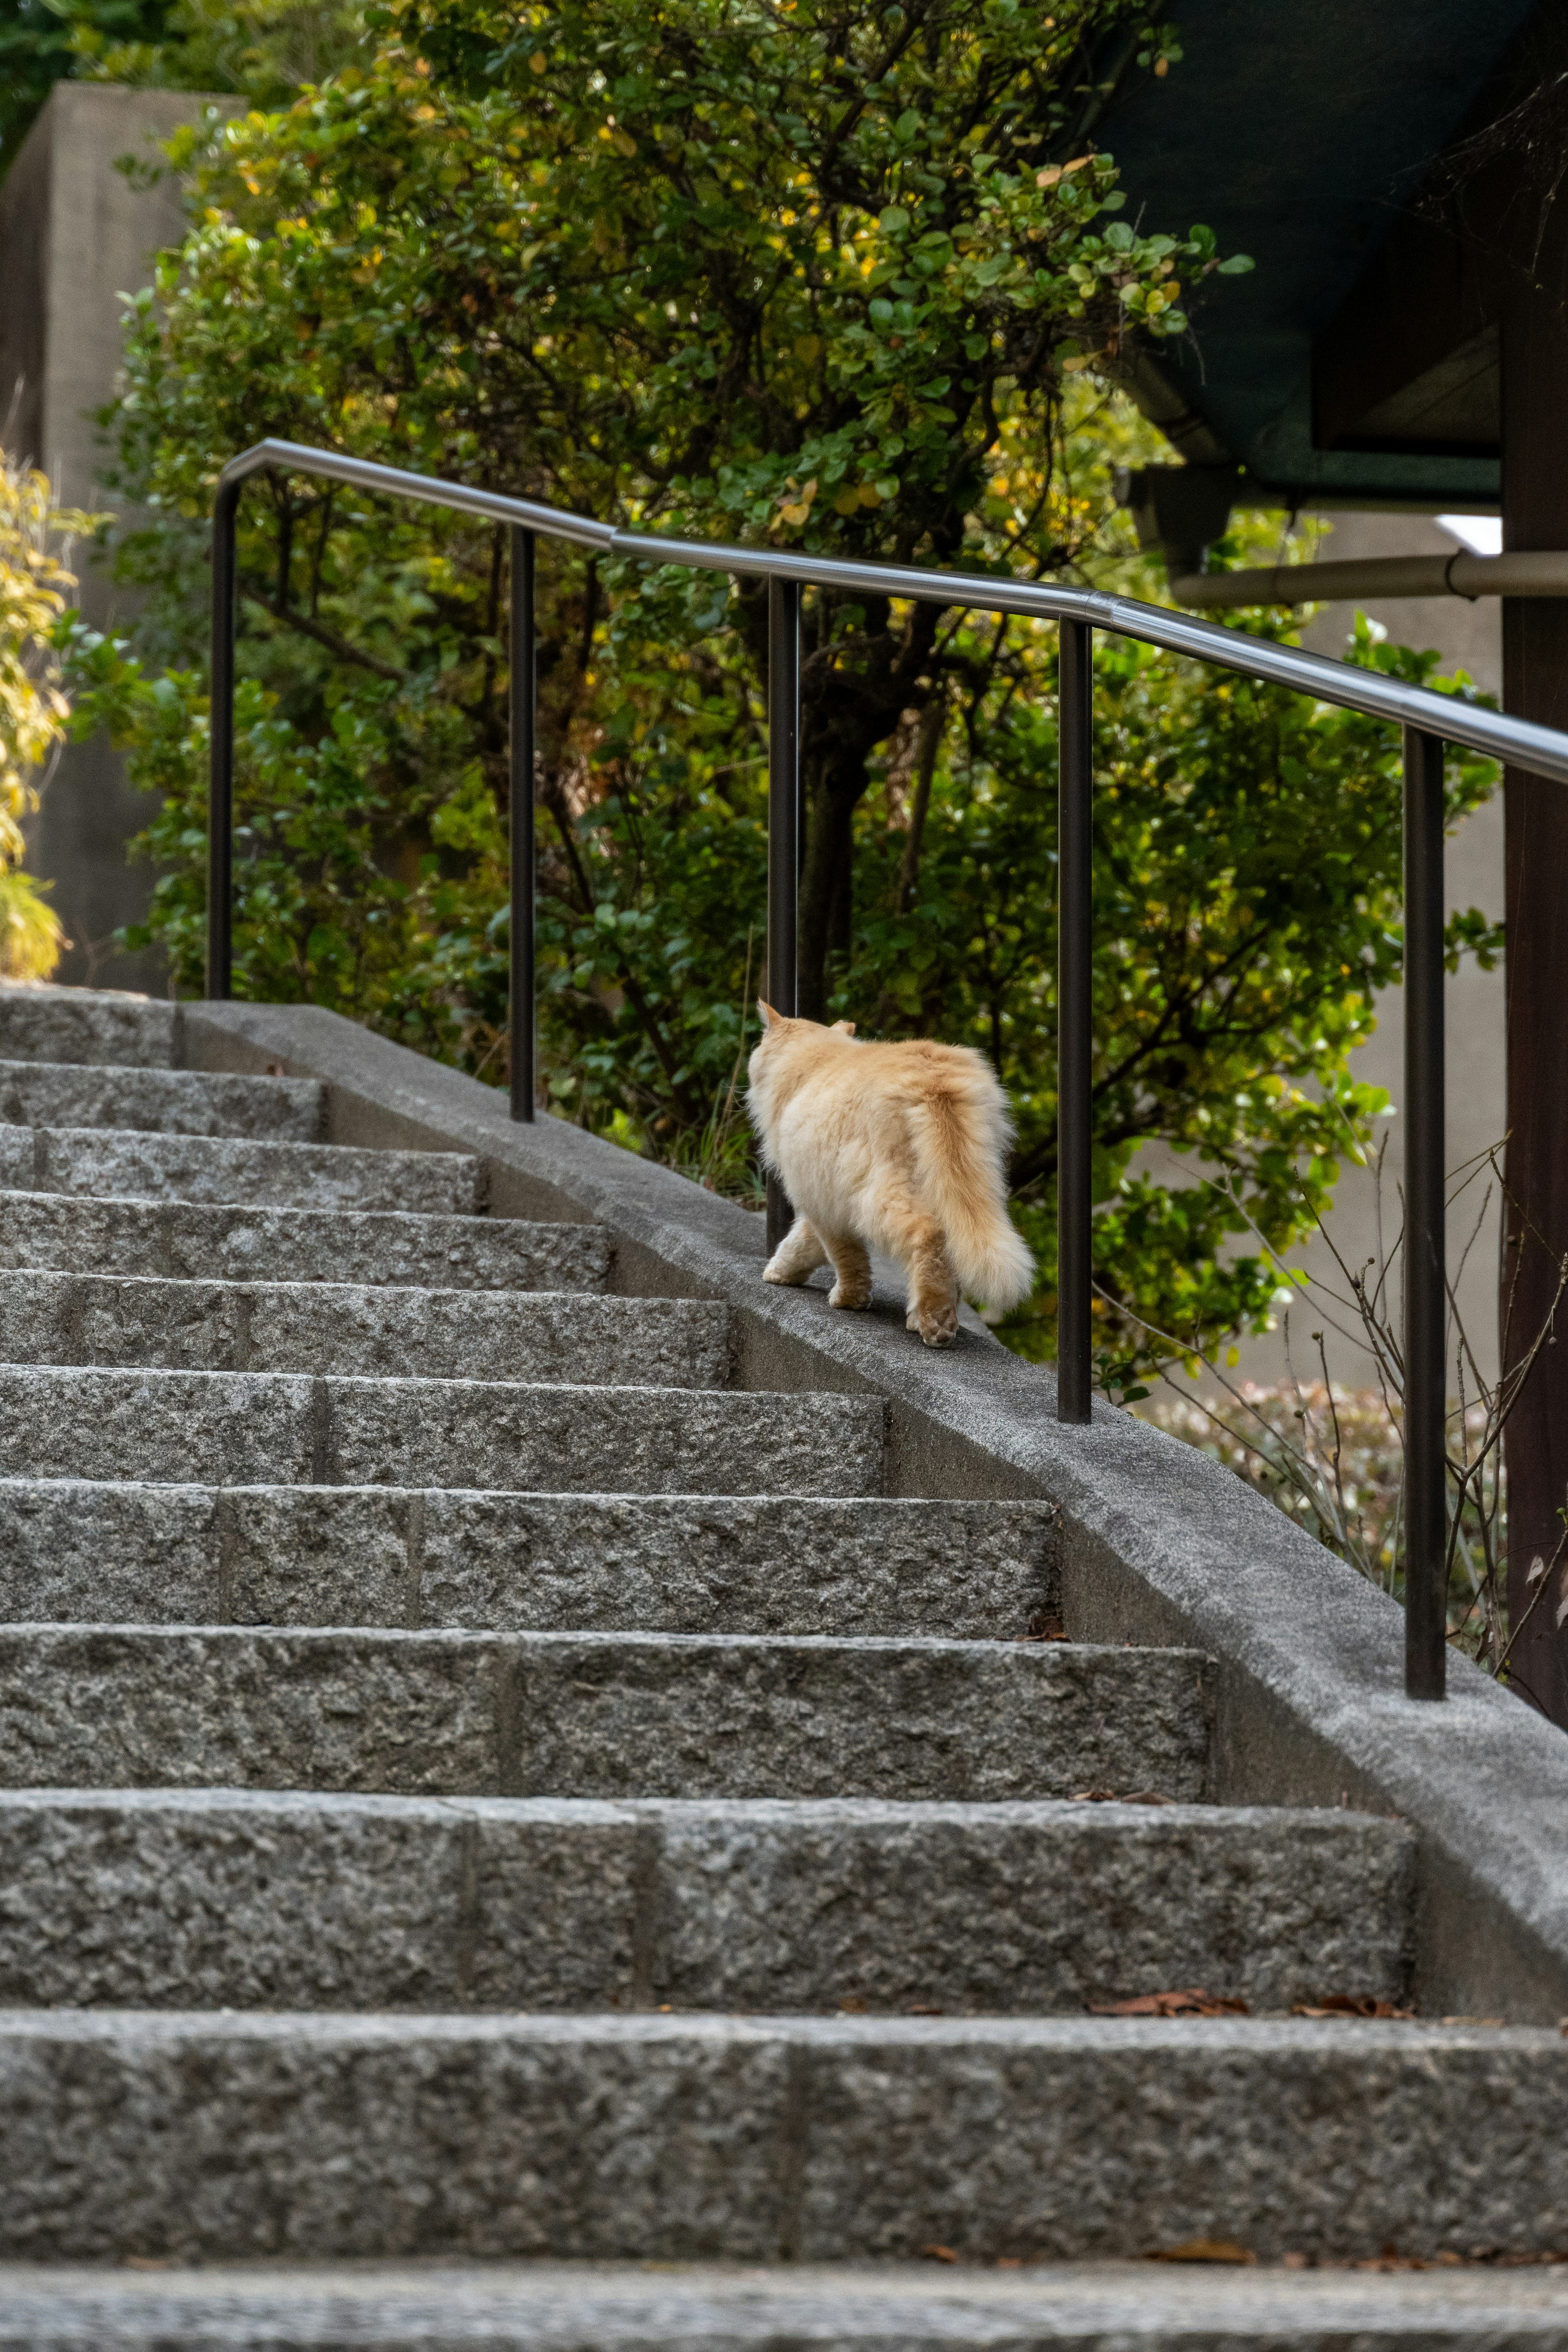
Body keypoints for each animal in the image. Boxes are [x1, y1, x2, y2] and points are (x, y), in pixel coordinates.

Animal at [752, 1002, 1044, 1354]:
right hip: (971, 1184)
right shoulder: (823, 1197)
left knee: (931, 1235)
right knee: (954, 1250)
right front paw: (782, 1272)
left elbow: (843, 1255)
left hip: (882, 1192)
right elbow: (803, 1243)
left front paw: (849, 1299)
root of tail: (933, 1075)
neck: (815, 1061)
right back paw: (928, 1316)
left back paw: (935, 1324)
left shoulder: (822, 1199)